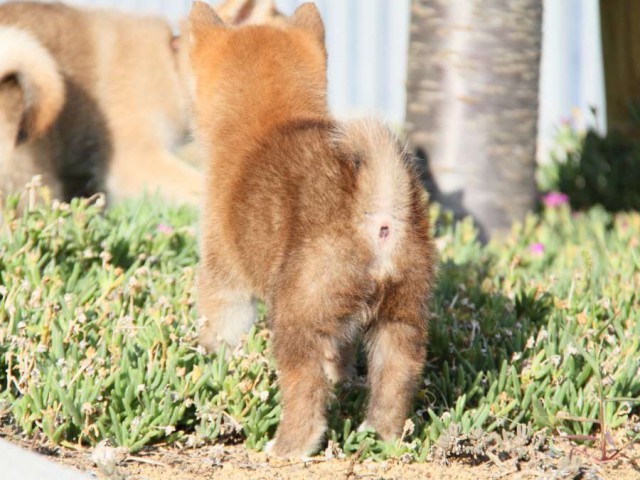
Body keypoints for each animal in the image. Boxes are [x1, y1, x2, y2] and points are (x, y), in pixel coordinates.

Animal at [188, 0, 438, 458]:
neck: (271, 116)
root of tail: (378, 209)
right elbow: (340, 358)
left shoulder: (224, 279)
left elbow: (220, 330)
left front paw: (211, 362)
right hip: (402, 316)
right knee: (397, 376)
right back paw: (380, 436)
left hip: (296, 316)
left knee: (305, 389)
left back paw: (287, 447)